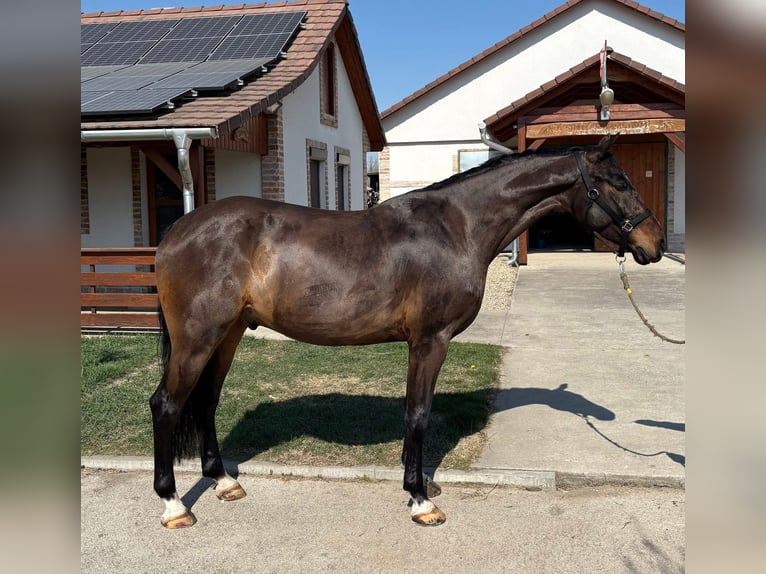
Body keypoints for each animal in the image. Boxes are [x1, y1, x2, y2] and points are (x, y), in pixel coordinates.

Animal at [149, 133, 665, 528]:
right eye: (618, 182)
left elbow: (419, 412)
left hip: (228, 334)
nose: (654, 243)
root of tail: (177, 231)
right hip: (198, 338)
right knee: (168, 404)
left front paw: (421, 483)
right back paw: (174, 505)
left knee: (206, 400)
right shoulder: (429, 340)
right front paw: (419, 500)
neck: (456, 228)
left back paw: (224, 482)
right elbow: (418, 413)